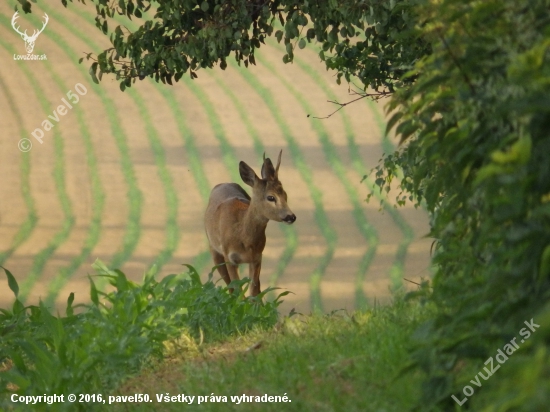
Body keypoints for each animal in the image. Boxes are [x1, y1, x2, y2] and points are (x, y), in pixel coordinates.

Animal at [205, 151, 298, 296]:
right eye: (271, 197)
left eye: (285, 195)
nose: (291, 217)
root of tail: (223, 183)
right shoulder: (229, 257)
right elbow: (237, 289)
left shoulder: (257, 257)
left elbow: (254, 290)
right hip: (214, 249)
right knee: (228, 285)